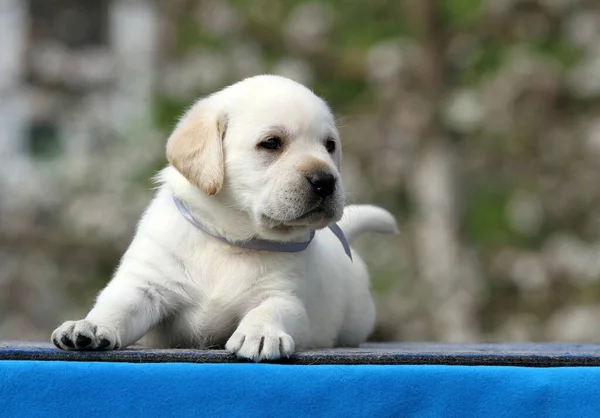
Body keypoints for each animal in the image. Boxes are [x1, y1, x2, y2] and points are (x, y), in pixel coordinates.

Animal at [51, 76, 398, 362]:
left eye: (329, 146)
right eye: (271, 143)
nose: (326, 181)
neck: (230, 240)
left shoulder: (285, 295)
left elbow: (271, 308)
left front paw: (261, 333)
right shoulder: (147, 284)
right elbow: (118, 305)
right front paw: (90, 326)